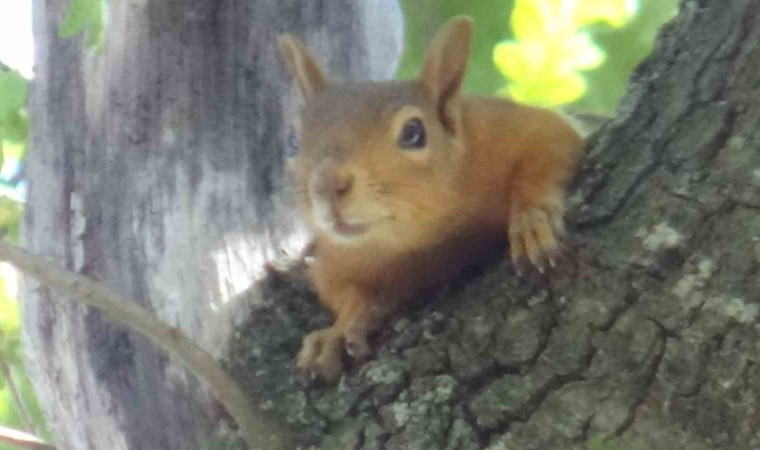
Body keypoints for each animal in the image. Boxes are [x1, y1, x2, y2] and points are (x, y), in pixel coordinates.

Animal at [278, 15, 580, 384]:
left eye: (413, 132)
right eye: (292, 141)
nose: (326, 185)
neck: (420, 242)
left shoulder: (506, 127)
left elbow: (549, 142)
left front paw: (531, 221)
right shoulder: (336, 256)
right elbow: (340, 291)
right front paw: (337, 332)